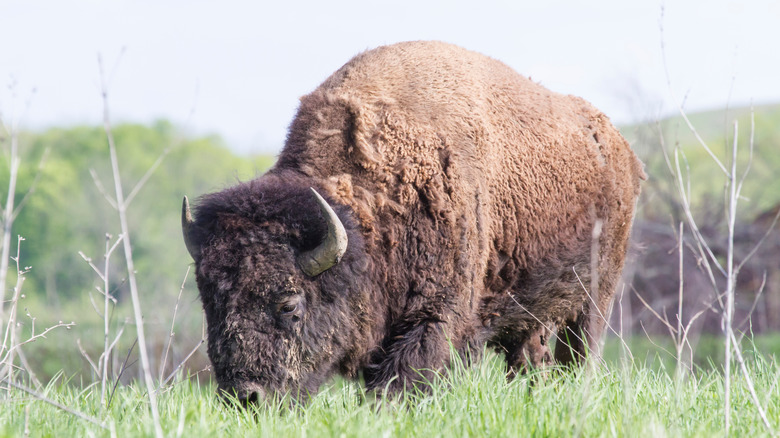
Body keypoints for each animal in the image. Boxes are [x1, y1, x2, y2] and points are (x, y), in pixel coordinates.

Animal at [183, 41, 644, 404]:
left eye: (289, 304)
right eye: (211, 302)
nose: (245, 398)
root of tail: (620, 148)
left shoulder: (435, 314)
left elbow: (405, 377)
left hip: (595, 296)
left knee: (579, 352)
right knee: (530, 357)